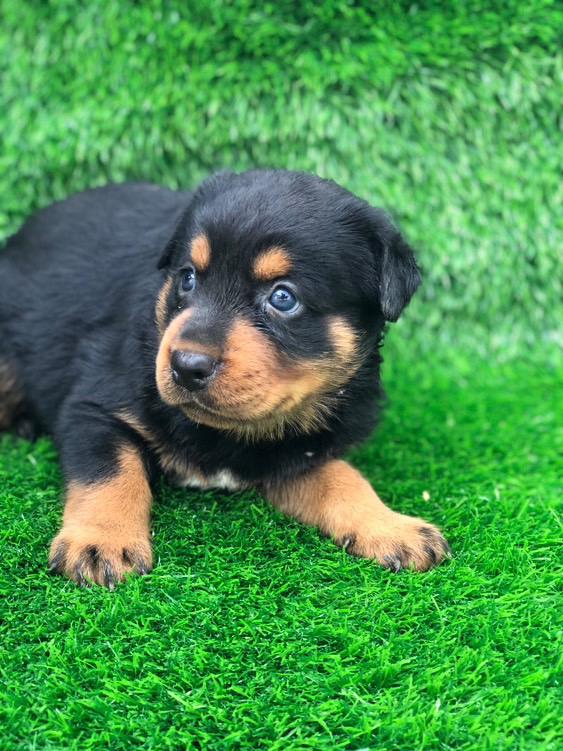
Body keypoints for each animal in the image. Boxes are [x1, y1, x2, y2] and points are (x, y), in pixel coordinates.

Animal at [0, 169, 450, 588]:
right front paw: (101, 542)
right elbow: (111, 471)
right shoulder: (93, 404)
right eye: (187, 278)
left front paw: (394, 527)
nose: (186, 365)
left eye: (283, 297)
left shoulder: (298, 452)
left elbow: (342, 478)